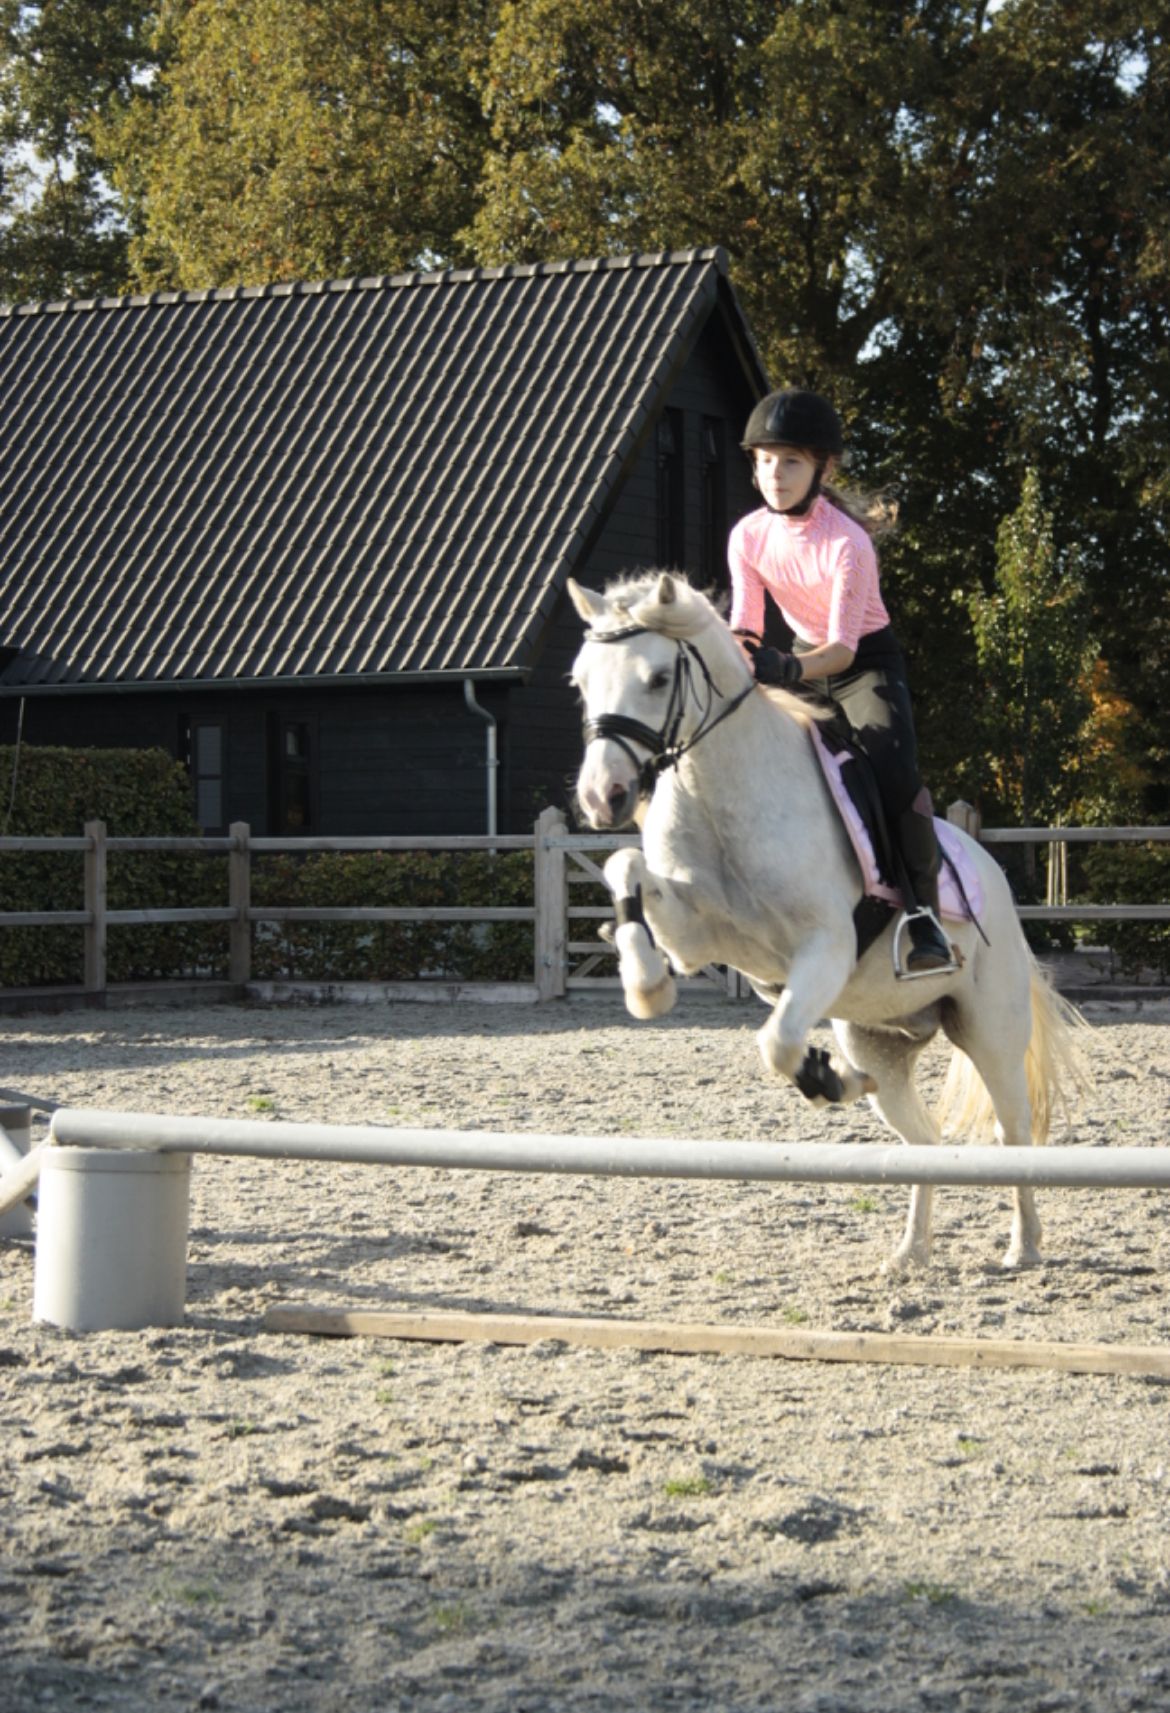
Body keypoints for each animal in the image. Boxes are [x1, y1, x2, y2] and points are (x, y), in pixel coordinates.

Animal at [569, 569, 1085, 1271]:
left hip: (989, 1033)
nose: (603, 798)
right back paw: (910, 1252)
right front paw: (647, 987)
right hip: (880, 1039)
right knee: (923, 1140)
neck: (719, 790)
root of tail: (995, 877)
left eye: (656, 677)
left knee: (1014, 1133)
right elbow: (625, 869)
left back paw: (1023, 1245)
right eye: (580, 680)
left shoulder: (825, 948)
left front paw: (823, 1078)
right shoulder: (697, 935)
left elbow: (778, 1041)